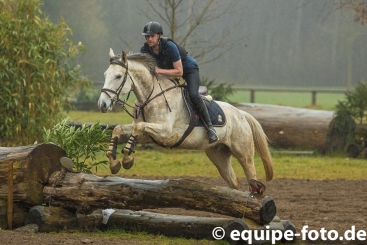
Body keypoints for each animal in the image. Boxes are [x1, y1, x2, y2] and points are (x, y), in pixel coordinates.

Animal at [98, 48, 274, 193]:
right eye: (105, 75)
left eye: (118, 76)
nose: (102, 104)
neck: (150, 97)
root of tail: (241, 114)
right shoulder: (147, 135)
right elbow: (120, 129)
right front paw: (114, 163)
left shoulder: (167, 133)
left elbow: (138, 127)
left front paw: (127, 159)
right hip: (218, 155)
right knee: (234, 183)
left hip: (244, 153)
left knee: (251, 176)